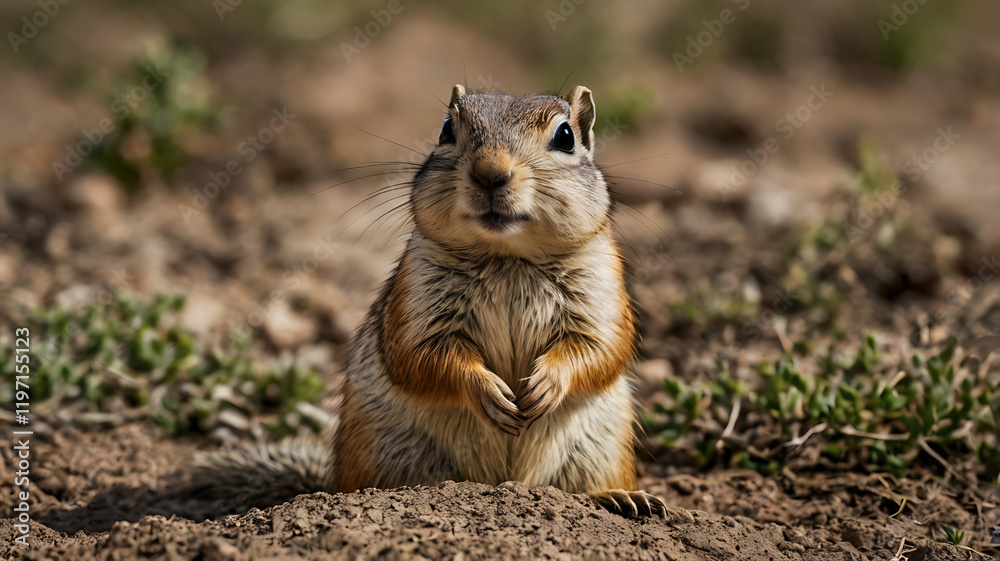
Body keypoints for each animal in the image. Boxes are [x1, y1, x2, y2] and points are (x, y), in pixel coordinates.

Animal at [191, 84, 676, 520]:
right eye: (446, 129)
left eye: (565, 136)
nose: (489, 172)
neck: (507, 257)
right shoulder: (417, 303)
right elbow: (424, 358)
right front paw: (489, 392)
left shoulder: (601, 297)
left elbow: (600, 350)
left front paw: (544, 384)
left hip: (600, 449)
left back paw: (620, 498)